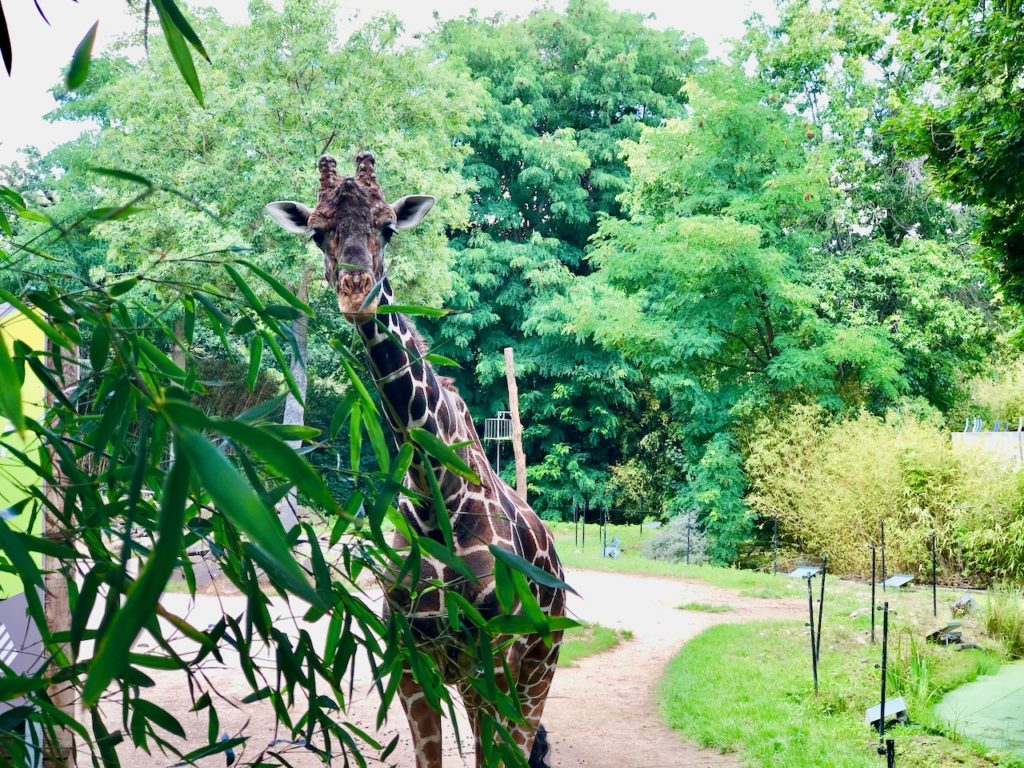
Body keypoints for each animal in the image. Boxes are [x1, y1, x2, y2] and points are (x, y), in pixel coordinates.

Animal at [268, 153, 565, 765]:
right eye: (317, 232)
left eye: (387, 227)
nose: (356, 288)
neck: (438, 499)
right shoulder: (410, 662)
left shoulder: (493, 659)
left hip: (538, 666)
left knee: (524, 743)